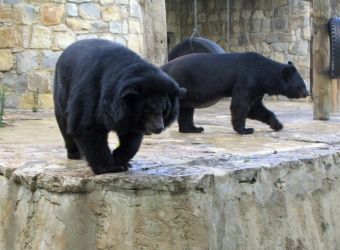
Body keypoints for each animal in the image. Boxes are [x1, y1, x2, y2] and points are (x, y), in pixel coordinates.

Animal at [53, 40, 186, 175]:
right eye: (147, 110)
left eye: (164, 109)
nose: (158, 127)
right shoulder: (93, 92)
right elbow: (86, 125)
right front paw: (110, 167)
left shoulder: (131, 115)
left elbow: (132, 137)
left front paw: (120, 159)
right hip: (61, 93)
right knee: (65, 125)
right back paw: (75, 154)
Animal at [161, 51, 310, 135]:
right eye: (301, 85)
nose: (307, 93)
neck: (263, 73)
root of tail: (163, 67)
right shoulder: (246, 79)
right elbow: (241, 105)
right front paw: (246, 130)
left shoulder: (258, 88)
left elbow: (256, 108)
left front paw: (278, 125)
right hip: (182, 81)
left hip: (188, 90)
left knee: (187, 109)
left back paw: (194, 129)